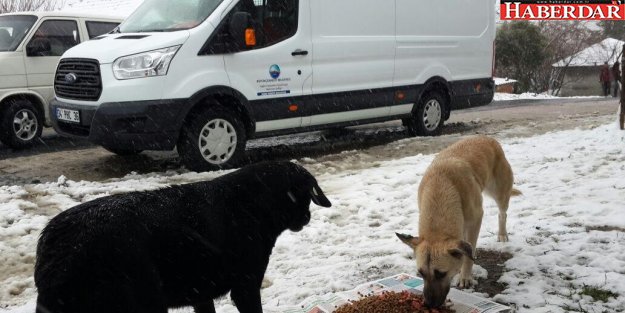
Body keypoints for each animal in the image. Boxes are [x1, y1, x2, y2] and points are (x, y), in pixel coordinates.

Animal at [34, 161, 332, 312]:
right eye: (305, 195)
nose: (307, 218)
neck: (252, 203)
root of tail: (56, 242)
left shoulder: (201, 294)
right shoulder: (245, 286)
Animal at [398, 136, 520, 308]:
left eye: (441, 274)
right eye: (420, 273)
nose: (429, 305)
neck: (441, 187)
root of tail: (487, 138)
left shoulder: (475, 220)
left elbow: (469, 255)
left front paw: (465, 277)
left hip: (500, 194)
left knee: (502, 214)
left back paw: (502, 234)